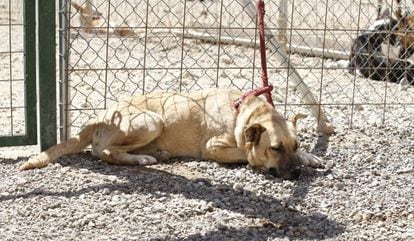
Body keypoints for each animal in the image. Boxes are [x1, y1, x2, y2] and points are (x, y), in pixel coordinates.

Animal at [19, 88, 324, 179]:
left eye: (295, 145)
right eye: (275, 148)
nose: (298, 173)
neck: (245, 113)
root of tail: (100, 116)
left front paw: (310, 158)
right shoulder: (214, 147)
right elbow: (246, 155)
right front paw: (256, 162)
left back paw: (156, 153)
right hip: (152, 120)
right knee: (104, 152)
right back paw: (141, 159)